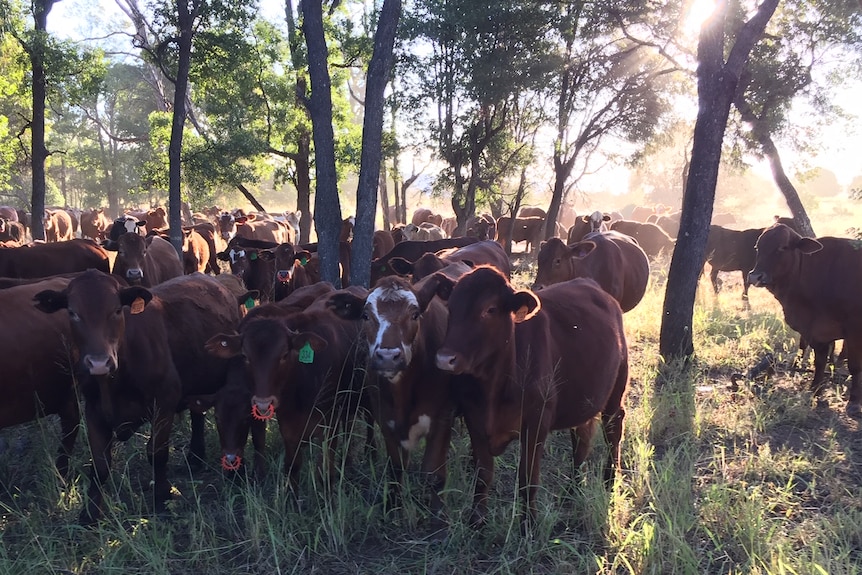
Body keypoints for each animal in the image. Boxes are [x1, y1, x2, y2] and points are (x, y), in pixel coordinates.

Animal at [34, 271, 243, 524]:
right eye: (73, 312)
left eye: (116, 310)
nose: (99, 363)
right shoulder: (93, 410)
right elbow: (100, 464)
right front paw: (90, 513)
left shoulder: (165, 401)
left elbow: (157, 452)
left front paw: (162, 498)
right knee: (197, 413)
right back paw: (195, 457)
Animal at [428, 267, 629, 527]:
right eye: (451, 307)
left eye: (490, 309)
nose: (445, 359)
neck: (493, 388)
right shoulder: (474, 418)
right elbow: (483, 474)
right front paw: (476, 521)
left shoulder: (536, 422)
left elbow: (528, 479)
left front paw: (528, 525)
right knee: (581, 439)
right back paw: (572, 490)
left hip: (616, 389)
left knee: (613, 429)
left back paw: (609, 480)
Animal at [749, 223, 862, 416]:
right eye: (757, 247)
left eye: (782, 247)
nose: (756, 276)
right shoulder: (817, 331)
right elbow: (819, 362)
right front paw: (814, 390)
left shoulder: (854, 329)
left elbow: (854, 365)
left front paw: (854, 401)